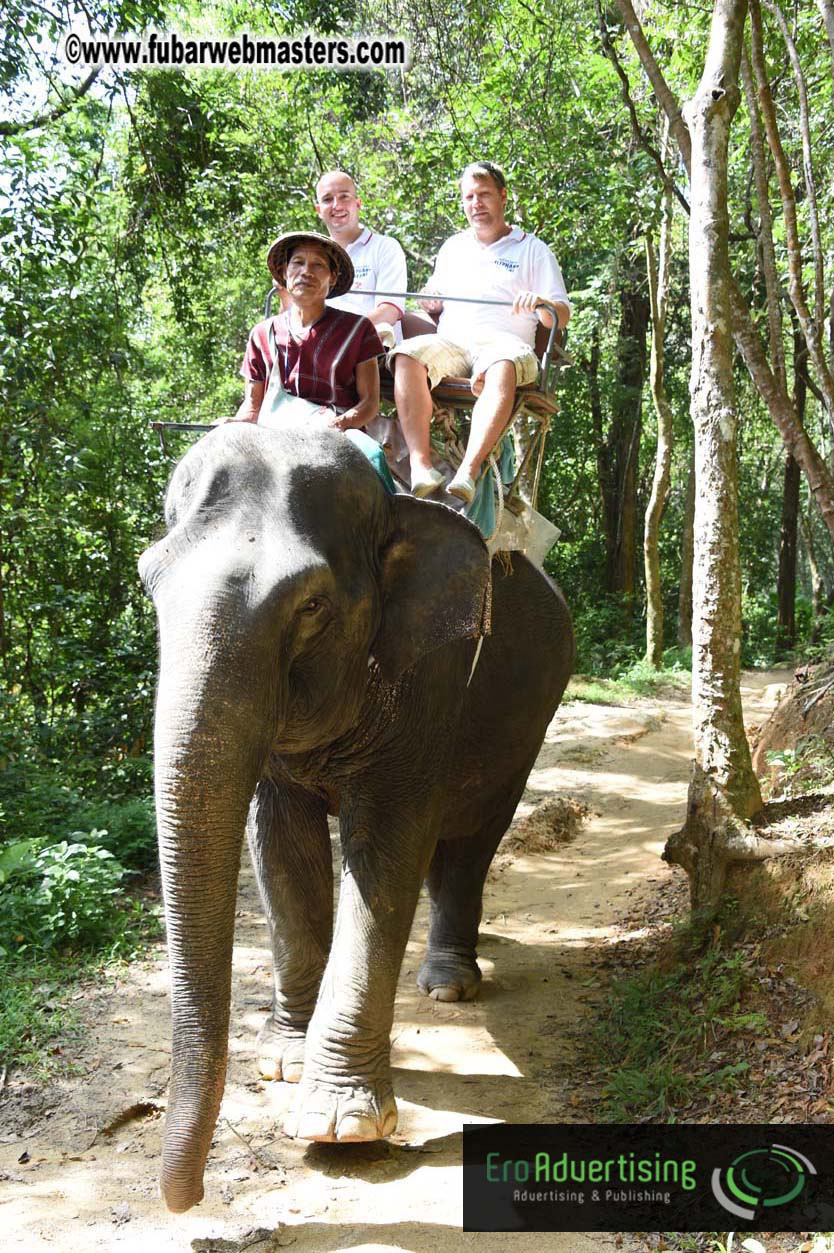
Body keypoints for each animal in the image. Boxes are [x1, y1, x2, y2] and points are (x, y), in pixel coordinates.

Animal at [139, 421, 574, 1213]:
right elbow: (281, 851)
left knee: (472, 838)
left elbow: (386, 855)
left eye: (311, 606)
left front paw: (340, 1125)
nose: (187, 1199)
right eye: (150, 583)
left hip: (530, 712)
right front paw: (285, 1059)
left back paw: (449, 982)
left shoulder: (434, 674)